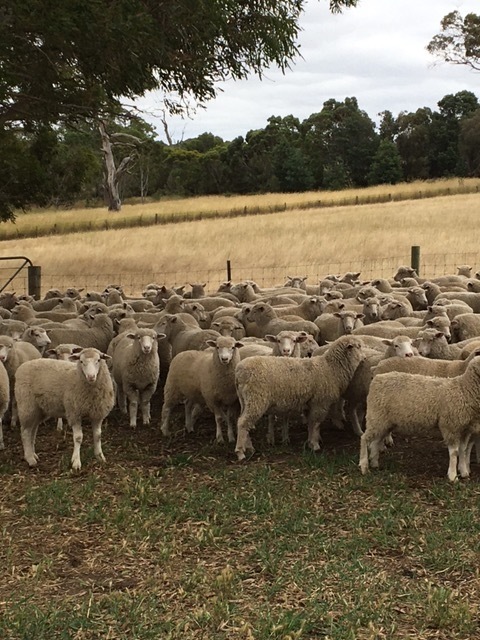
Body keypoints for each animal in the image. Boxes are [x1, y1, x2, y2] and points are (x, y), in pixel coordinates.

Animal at [234, 335, 365, 460]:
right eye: (358, 346)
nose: (365, 357)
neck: (331, 367)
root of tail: (239, 371)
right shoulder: (320, 402)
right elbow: (316, 423)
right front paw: (315, 444)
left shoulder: (311, 403)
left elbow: (311, 423)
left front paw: (311, 441)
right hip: (256, 399)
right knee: (243, 423)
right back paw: (240, 452)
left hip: (245, 401)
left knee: (242, 421)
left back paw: (249, 447)